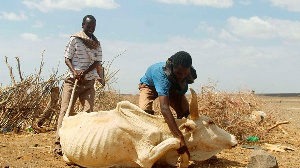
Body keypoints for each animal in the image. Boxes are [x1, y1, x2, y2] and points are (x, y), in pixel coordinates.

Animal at [58, 88, 237, 167]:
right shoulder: (145, 158)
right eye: (211, 122)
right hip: (67, 156)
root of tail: (66, 120)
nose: (234, 139)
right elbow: (176, 142)